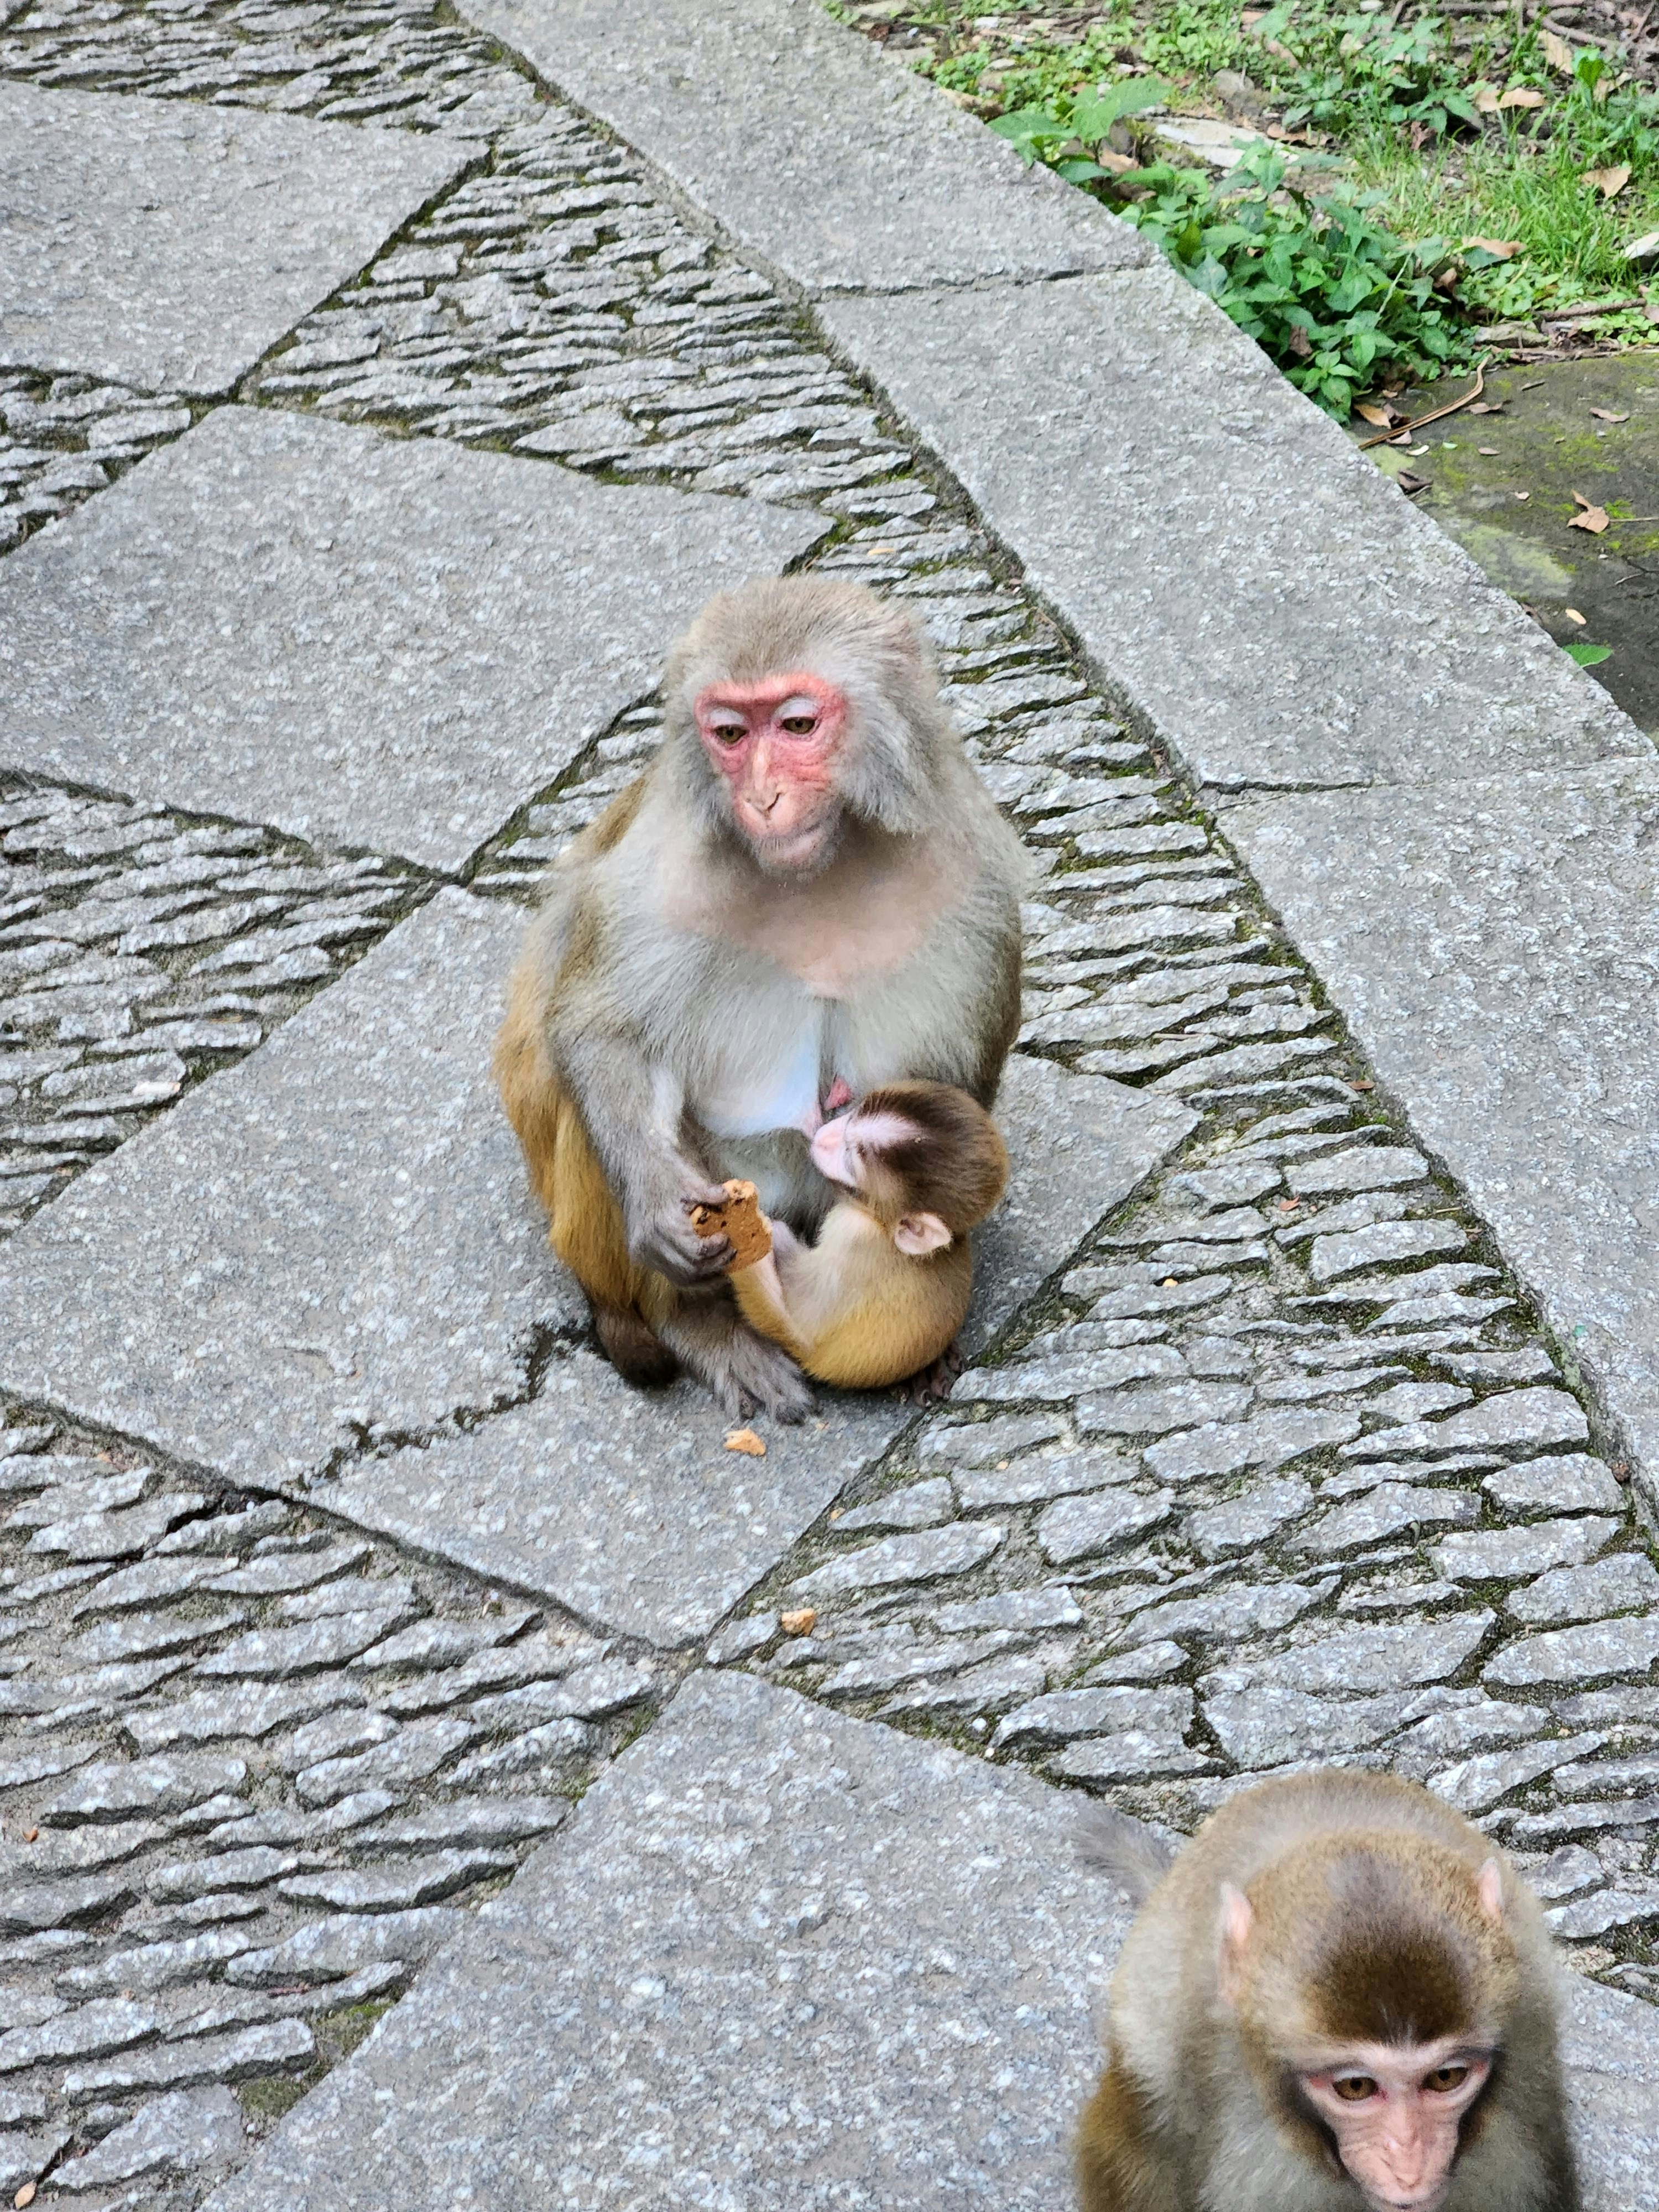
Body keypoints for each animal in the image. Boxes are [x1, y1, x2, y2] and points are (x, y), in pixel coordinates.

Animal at [723, 1081, 1009, 1393]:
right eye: (854, 1117)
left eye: (851, 1159)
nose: (825, 1137)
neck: (885, 1229)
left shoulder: (854, 1234)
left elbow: (803, 1323)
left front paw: (767, 1230)